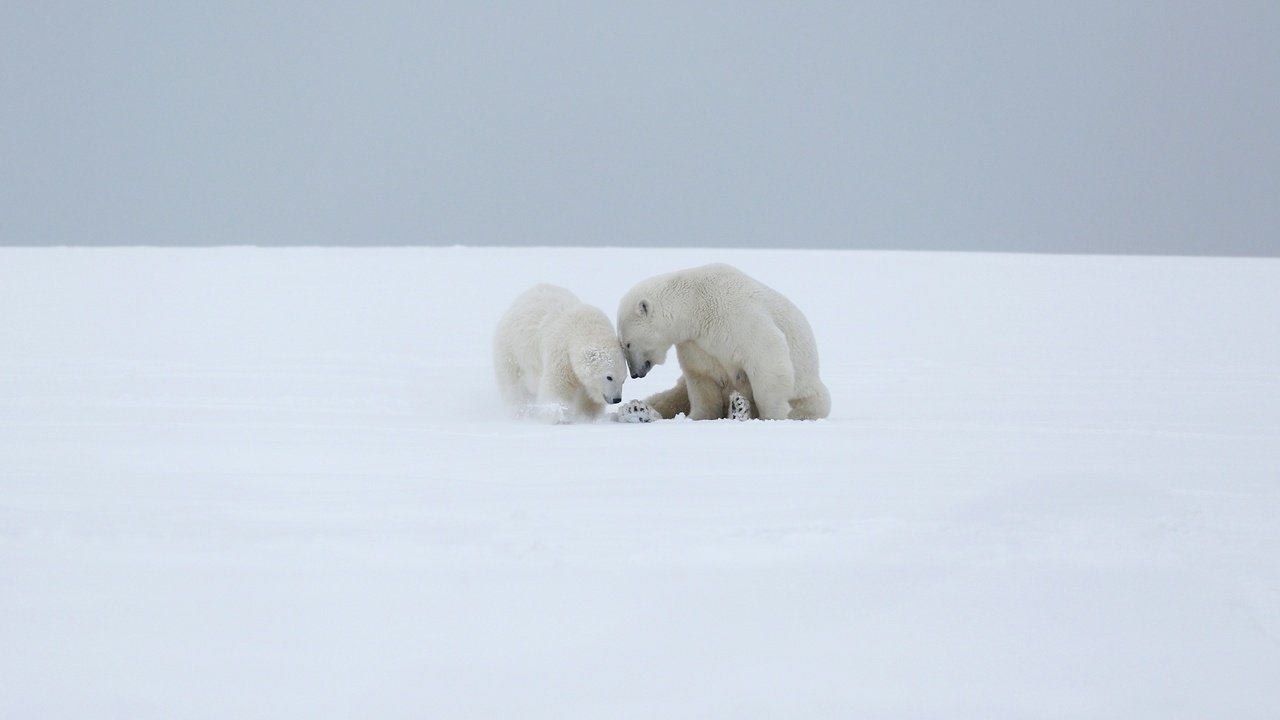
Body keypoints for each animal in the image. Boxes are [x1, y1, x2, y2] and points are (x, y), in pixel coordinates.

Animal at [488, 284, 634, 422]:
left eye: (623, 379)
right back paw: (519, 411)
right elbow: (557, 386)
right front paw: (559, 417)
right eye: (609, 377)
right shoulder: (562, 353)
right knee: (512, 385)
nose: (616, 399)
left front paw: (588, 417)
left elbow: (587, 397)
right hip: (511, 350)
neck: (585, 328)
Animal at [616, 263, 829, 420]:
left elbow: (766, 355)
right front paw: (697, 416)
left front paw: (773, 416)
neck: (695, 304)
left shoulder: (736, 313)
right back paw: (636, 410)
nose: (635, 374)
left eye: (627, 344)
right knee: (671, 396)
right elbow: (702, 379)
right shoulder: (695, 343)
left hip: (808, 391)